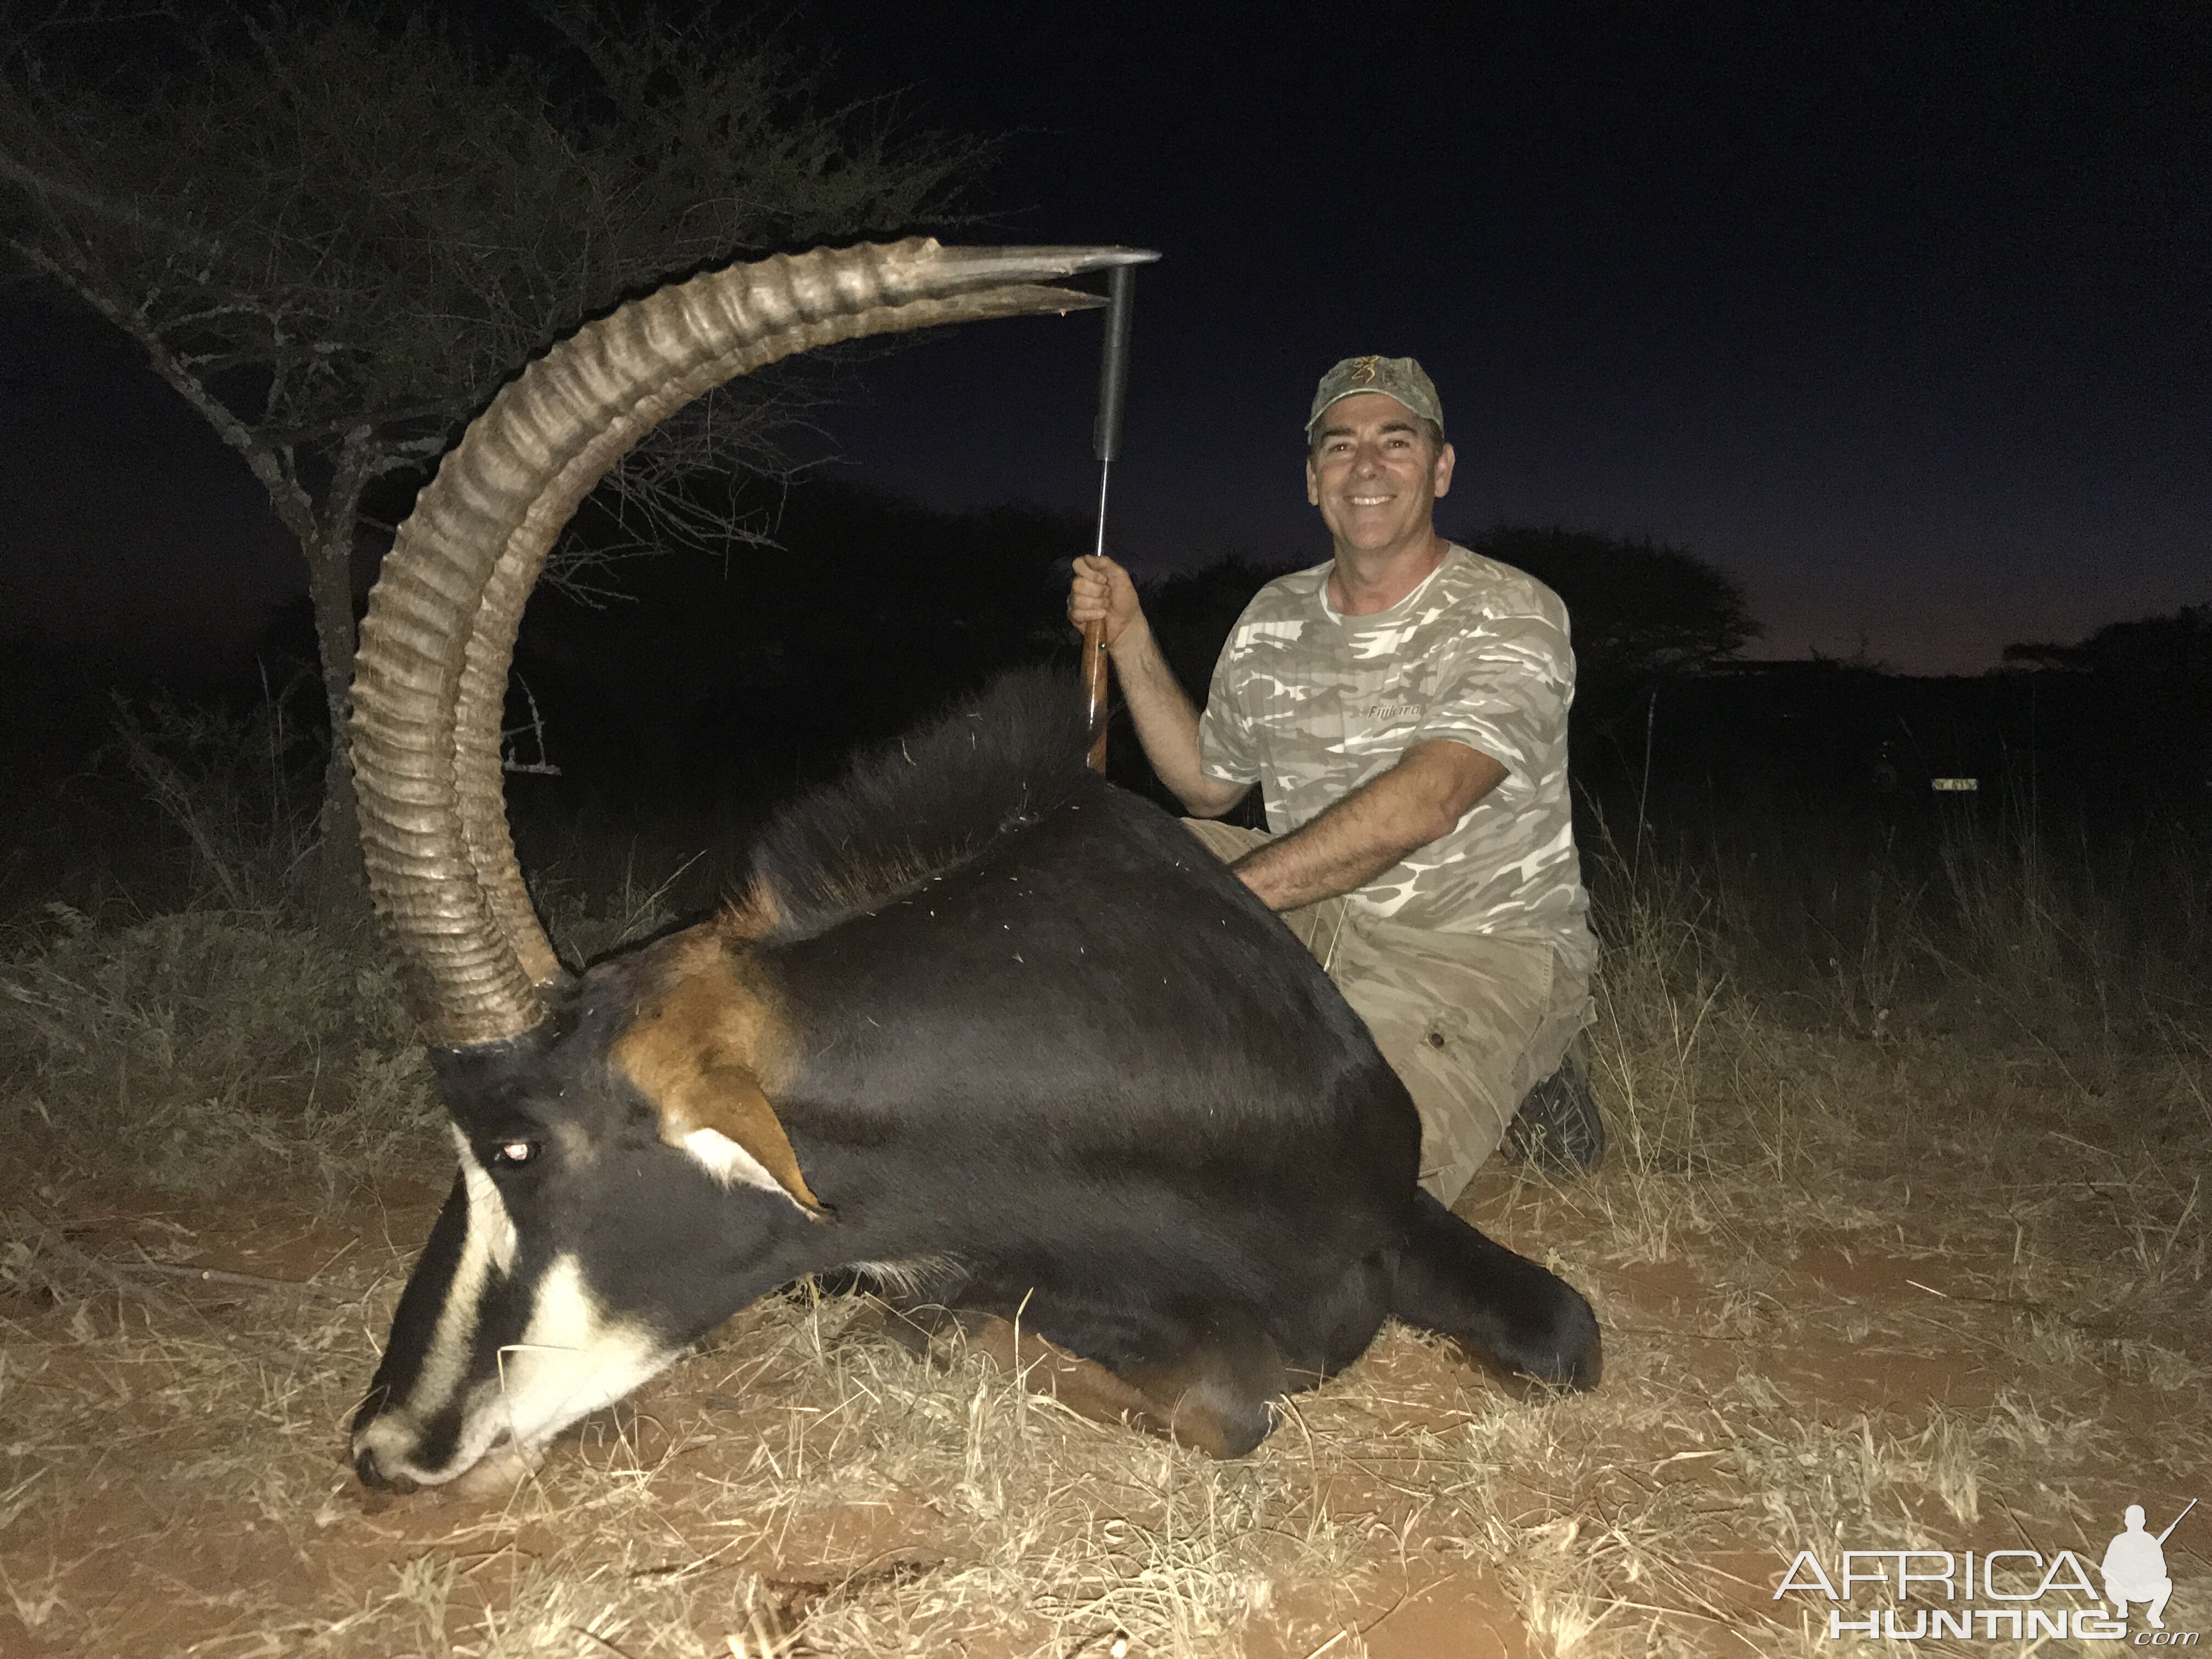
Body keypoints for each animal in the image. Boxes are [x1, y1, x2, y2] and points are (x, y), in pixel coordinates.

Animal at [345, 243, 1601, 1495]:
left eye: (517, 1145)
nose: (386, 1442)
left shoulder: (1396, 1210)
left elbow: (1561, 1334)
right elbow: (1217, 1392)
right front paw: (928, 1326)